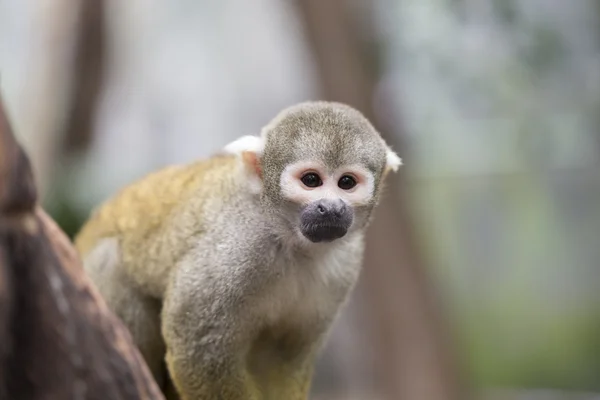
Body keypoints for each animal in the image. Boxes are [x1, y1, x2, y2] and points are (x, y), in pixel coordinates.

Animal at [75, 101, 404, 398]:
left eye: (346, 182)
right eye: (311, 180)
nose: (331, 208)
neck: (288, 239)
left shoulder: (345, 264)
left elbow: (283, 359)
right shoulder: (233, 252)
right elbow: (199, 354)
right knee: (109, 261)